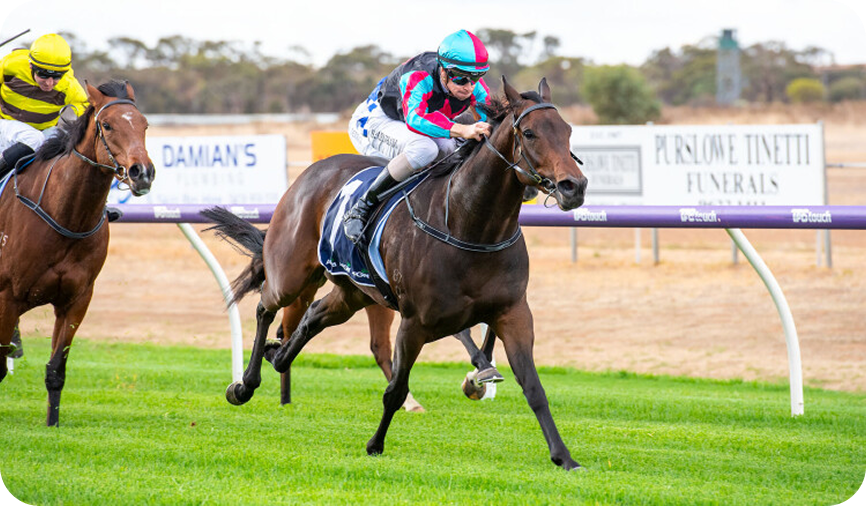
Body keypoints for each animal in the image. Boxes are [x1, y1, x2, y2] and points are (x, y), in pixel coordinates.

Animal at [0, 81, 155, 427]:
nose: (142, 172)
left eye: (145, 125)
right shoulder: (8, 296)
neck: (66, 216)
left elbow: (56, 369)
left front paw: (52, 424)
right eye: (107, 125)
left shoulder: (76, 300)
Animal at [204, 76, 587, 470]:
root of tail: (309, 172)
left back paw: (277, 355)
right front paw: (375, 444)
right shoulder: (414, 322)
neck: (468, 224)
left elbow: (533, 386)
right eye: (529, 133)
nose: (573, 186)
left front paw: (564, 457)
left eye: (568, 131)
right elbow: (396, 389)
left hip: (352, 292)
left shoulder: (512, 313)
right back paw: (243, 385)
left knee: (312, 316)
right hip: (292, 273)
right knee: (265, 306)